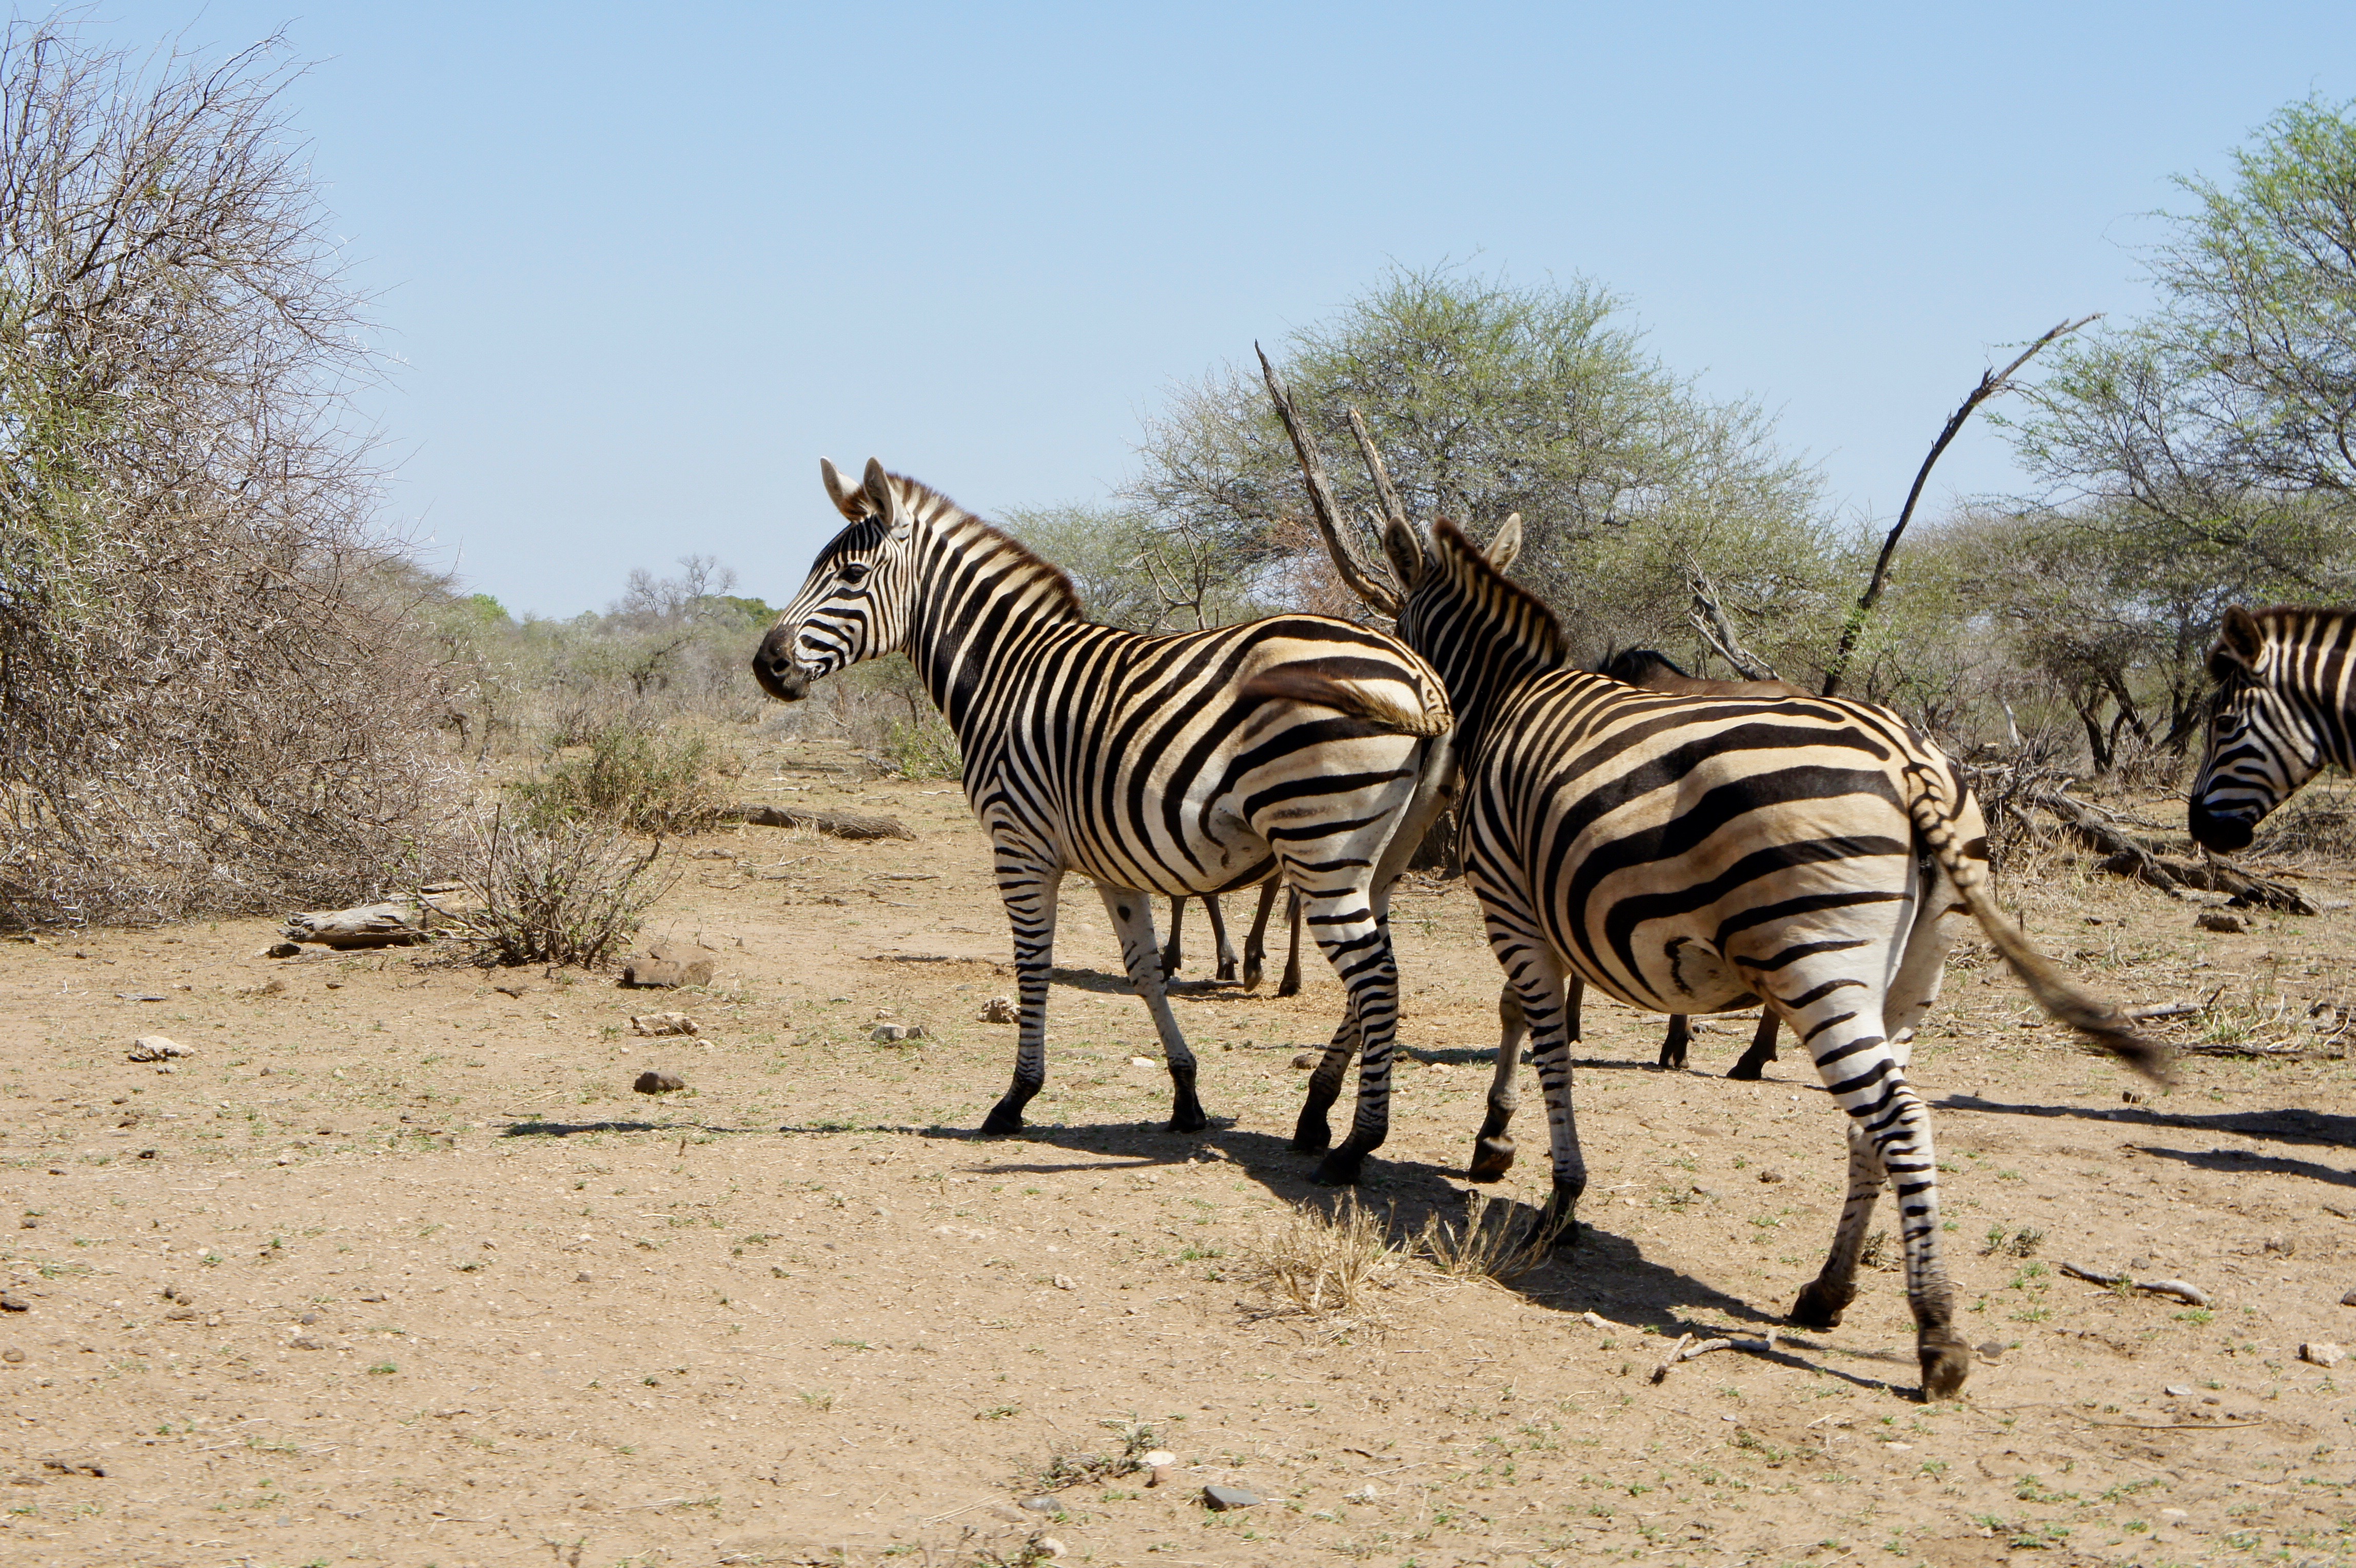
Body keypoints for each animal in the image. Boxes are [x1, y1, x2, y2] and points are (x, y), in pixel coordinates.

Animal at [751, 458, 1455, 1169]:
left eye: (851, 576)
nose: (766, 664)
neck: (1005, 673)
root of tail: (1416, 673)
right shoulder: (1111, 860)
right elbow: (1144, 972)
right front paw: (1185, 1096)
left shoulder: (1020, 845)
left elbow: (1033, 966)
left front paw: (1016, 1097)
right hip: (1378, 853)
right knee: (1377, 972)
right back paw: (1316, 1115)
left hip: (1319, 843)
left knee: (1376, 978)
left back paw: (1356, 1144)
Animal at [1329, 509, 2164, 1398]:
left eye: (1398, 630)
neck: (1510, 700)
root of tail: (1911, 761)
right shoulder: (1541, 914)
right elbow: (1530, 1021)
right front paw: (1502, 1147)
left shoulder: (1514, 906)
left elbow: (1546, 1038)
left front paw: (1548, 1186)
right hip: (1913, 974)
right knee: (1873, 1125)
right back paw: (1828, 1290)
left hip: (1815, 954)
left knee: (1897, 1118)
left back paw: (1937, 1333)